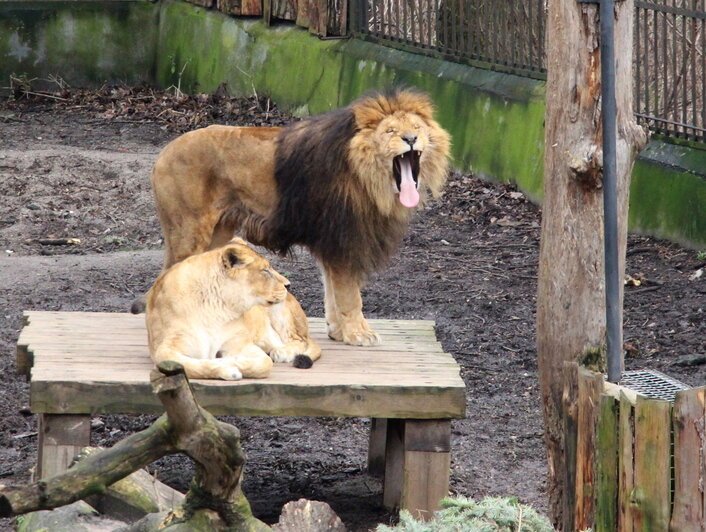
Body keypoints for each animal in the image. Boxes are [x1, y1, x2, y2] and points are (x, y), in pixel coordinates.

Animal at [135, 89, 448, 348]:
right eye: (391, 130)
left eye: (416, 128)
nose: (410, 140)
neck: (369, 178)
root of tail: (164, 152)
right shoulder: (343, 238)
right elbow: (350, 295)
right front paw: (359, 334)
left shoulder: (331, 242)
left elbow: (332, 290)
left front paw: (338, 331)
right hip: (189, 231)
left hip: (218, 233)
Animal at [146, 239, 322, 380]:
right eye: (265, 270)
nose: (288, 285)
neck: (215, 306)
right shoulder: (164, 349)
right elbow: (191, 366)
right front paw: (227, 367)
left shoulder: (240, 342)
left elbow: (265, 364)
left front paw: (231, 360)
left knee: (299, 340)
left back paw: (282, 352)